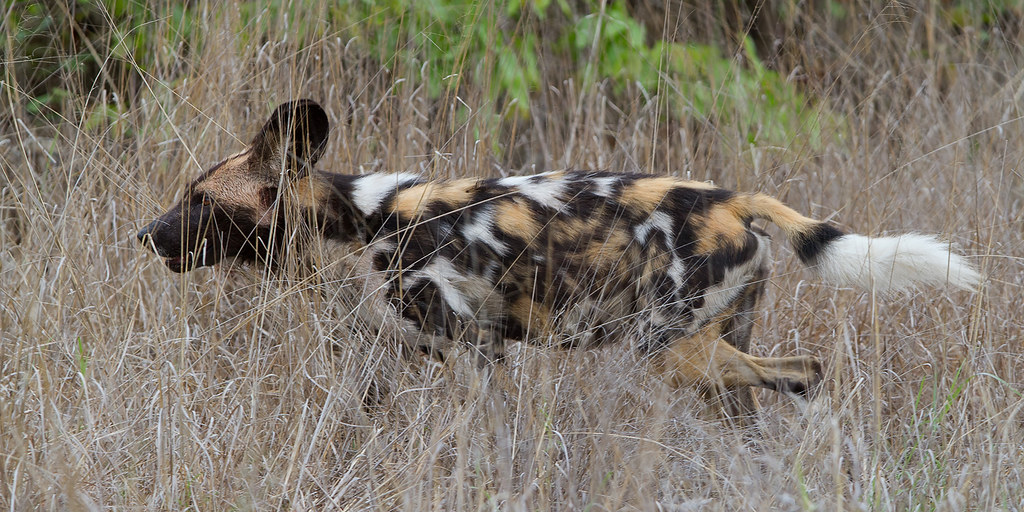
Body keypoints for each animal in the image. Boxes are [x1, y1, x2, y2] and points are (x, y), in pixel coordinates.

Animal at [140, 101, 978, 417]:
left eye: (199, 200)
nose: (146, 235)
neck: (358, 222)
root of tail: (738, 200)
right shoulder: (399, 360)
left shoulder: (473, 351)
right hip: (712, 351)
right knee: (781, 388)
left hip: (668, 349)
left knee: (801, 374)